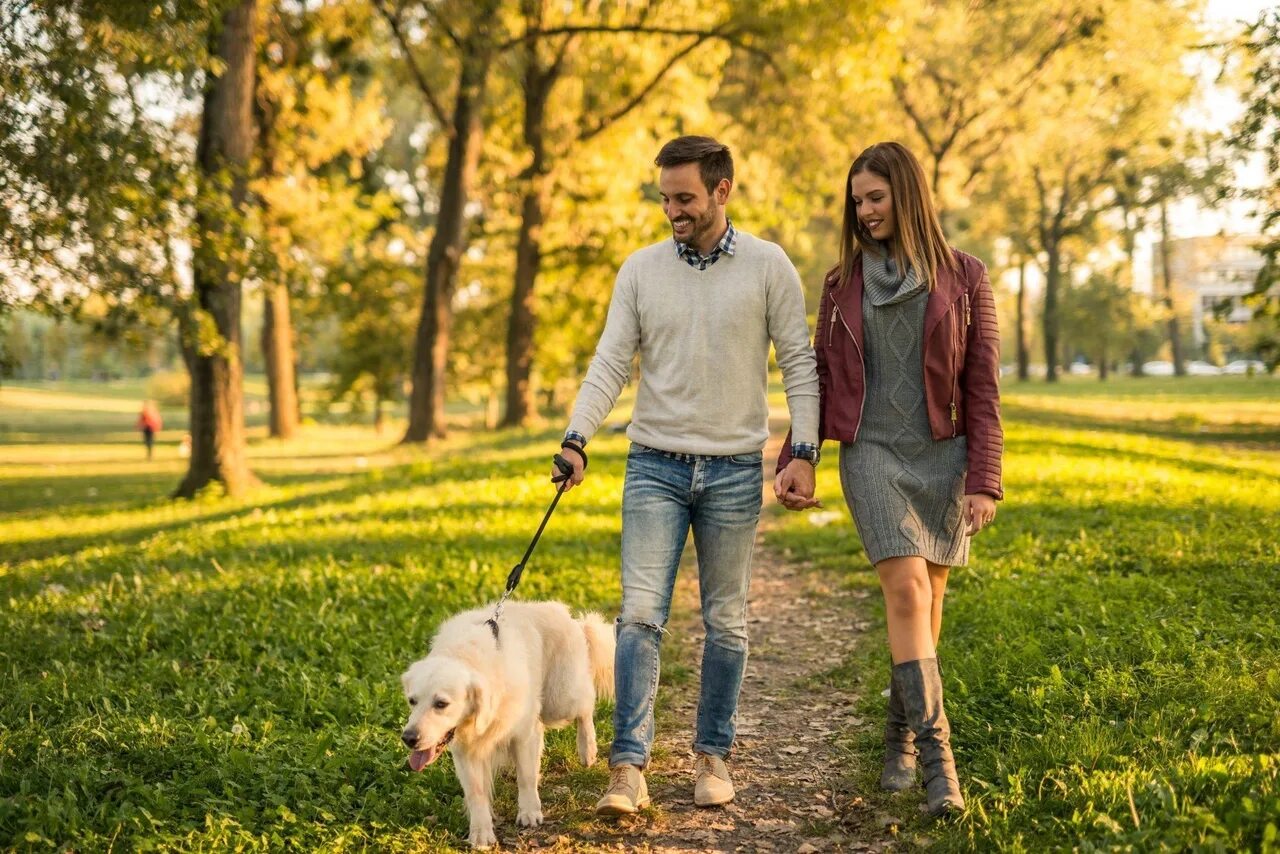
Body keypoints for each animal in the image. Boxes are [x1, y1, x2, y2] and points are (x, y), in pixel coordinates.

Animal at [401, 601, 616, 850]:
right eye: (412, 701)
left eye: (441, 704)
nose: (408, 738)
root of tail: (566, 614)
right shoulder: (465, 752)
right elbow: (476, 793)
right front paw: (481, 833)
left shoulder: (523, 735)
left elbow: (526, 776)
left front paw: (529, 812)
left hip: (560, 701)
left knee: (586, 705)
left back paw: (587, 750)